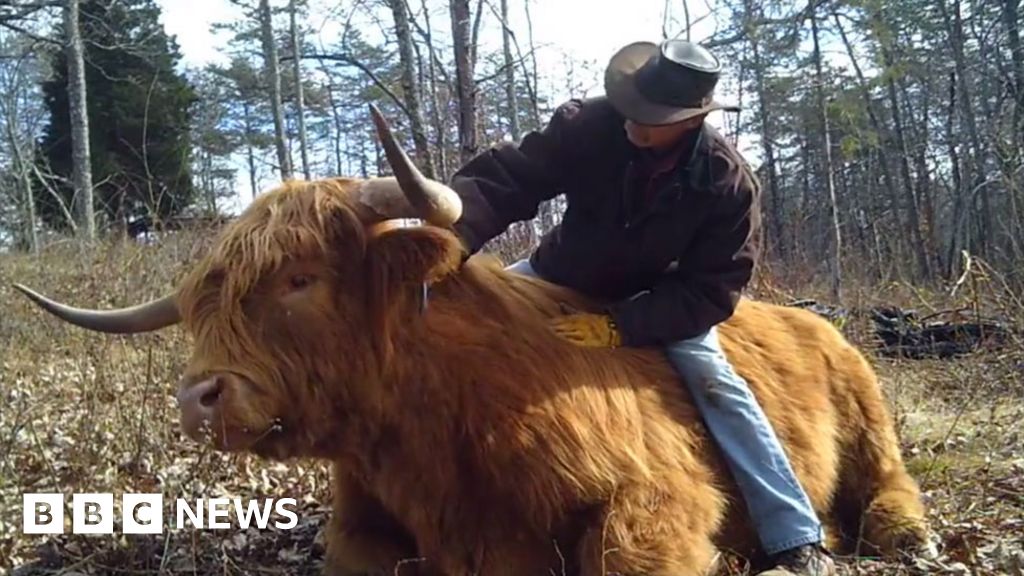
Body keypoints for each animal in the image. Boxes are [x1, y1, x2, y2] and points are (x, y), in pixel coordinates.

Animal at [14, 106, 929, 573]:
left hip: (868, 421)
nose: (200, 398)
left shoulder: (662, 493)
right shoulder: (364, 514)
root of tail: (812, 317)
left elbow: (625, 555)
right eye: (204, 303)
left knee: (887, 482)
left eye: (301, 278)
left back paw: (882, 538)